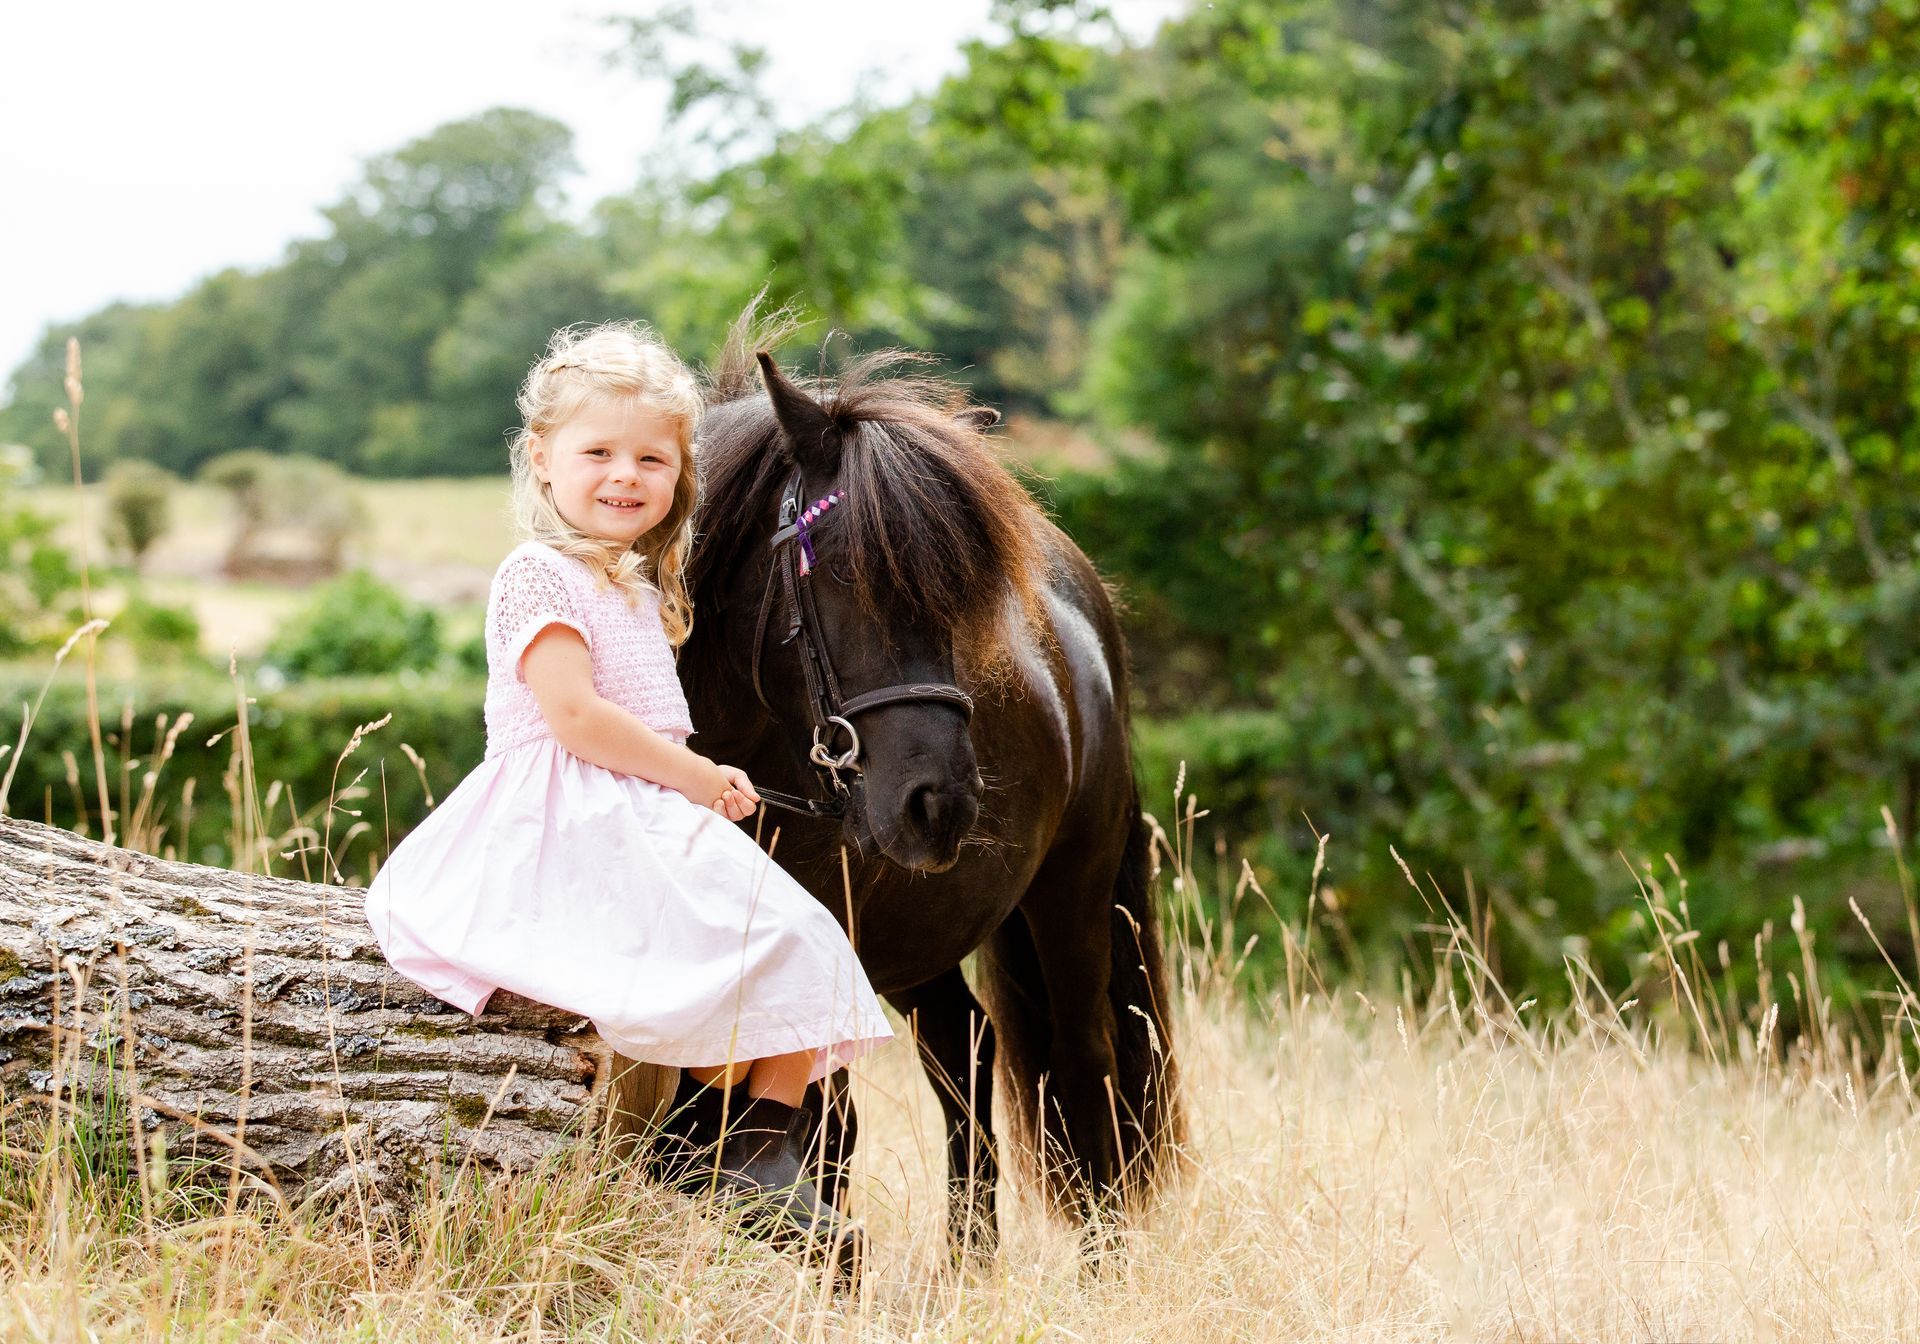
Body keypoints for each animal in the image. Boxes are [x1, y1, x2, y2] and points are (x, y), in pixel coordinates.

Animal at [670, 312, 1182, 1253]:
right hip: (918, 938)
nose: (939, 804)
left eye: (963, 600)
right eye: (840, 571)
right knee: (963, 1049)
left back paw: (1101, 1261)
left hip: (1070, 897)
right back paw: (967, 1265)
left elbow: (813, 1133)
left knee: (1084, 1065)